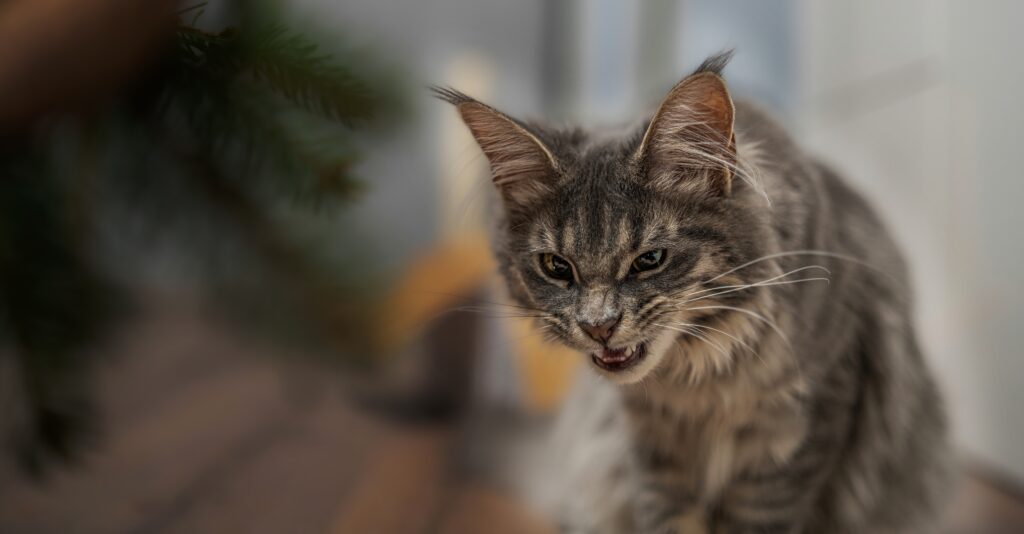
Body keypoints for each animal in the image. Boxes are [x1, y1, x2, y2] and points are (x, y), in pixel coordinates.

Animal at [436, 50, 954, 532]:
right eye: (557, 267)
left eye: (649, 260)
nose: (598, 327)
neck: (697, 383)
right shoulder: (653, 454)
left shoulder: (801, 437)